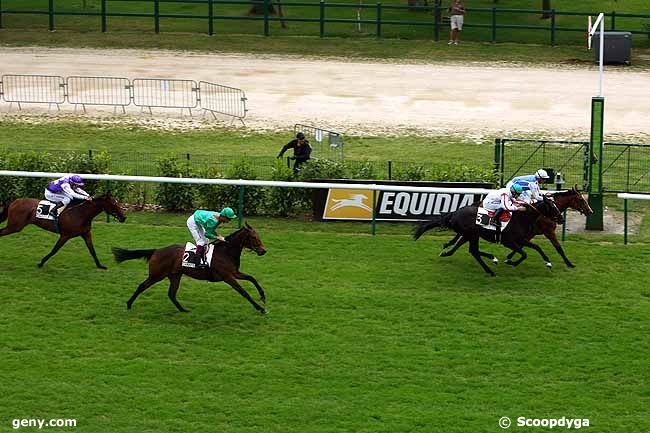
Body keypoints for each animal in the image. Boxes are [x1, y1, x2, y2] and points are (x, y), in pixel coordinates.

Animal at [110, 223, 268, 314]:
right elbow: (243, 292)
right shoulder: (227, 276)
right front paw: (260, 308)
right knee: (142, 286)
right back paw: (129, 304)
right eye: (254, 237)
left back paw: (183, 309)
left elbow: (252, 278)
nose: (263, 251)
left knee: (171, 294)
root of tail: (156, 251)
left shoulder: (235, 273)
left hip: (175, 275)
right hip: (156, 275)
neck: (226, 252)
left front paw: (263, 296)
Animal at [416, 197, 560, 276]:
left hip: (469, 235)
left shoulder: (521, 239)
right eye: (552, 207)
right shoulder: (509, 242)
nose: (562, 219)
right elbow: (524, 254)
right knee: (474, 251)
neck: (521, 218)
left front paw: (548, 262)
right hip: (473, 234)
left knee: (471, 249)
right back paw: (491, 266)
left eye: (556, 205)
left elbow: (537, 247)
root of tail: (455, 213)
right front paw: (511, 262)